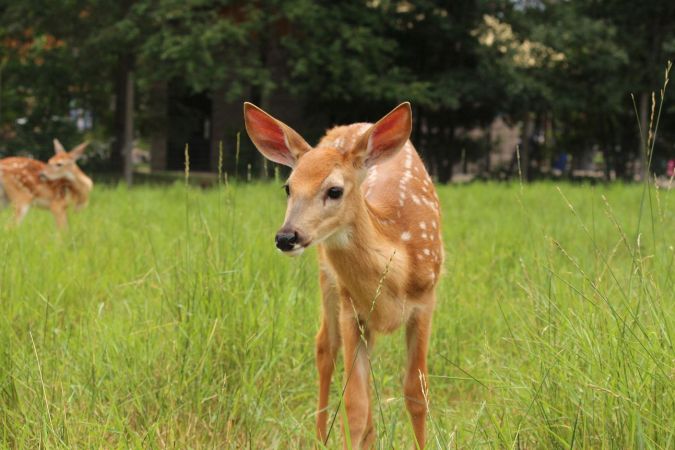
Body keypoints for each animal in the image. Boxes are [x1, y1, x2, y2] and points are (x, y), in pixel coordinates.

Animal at [244, 103, 444, 450]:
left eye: (334, 190)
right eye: (288, 187)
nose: (286, 237)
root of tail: (353, 125)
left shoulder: (424, 303)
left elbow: (416, 394)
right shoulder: (352, 310)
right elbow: (355, 405)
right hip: (328, 281)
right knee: (325, 347)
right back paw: (320, 438)